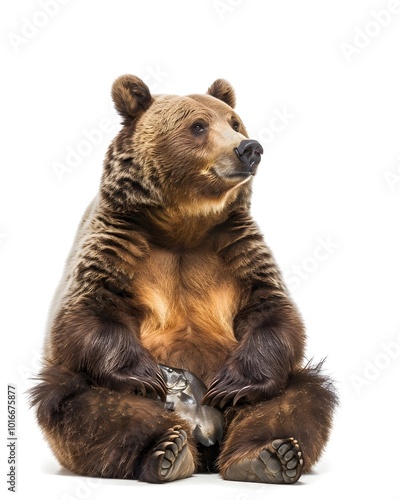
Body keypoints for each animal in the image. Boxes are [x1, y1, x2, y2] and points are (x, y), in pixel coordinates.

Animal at [31, 74, 338, 484]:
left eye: (235, 122)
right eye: (198, 126)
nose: (250, 148)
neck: (184, 225)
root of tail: (205, 442)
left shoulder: (235, 248)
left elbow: (273, 311)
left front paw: (233, 383)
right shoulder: (118, 240)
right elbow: (86, 312)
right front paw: (145, 374)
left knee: (300, 396)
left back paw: (268, 456)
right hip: (88, 394)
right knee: (83, 403)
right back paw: (167, 452)